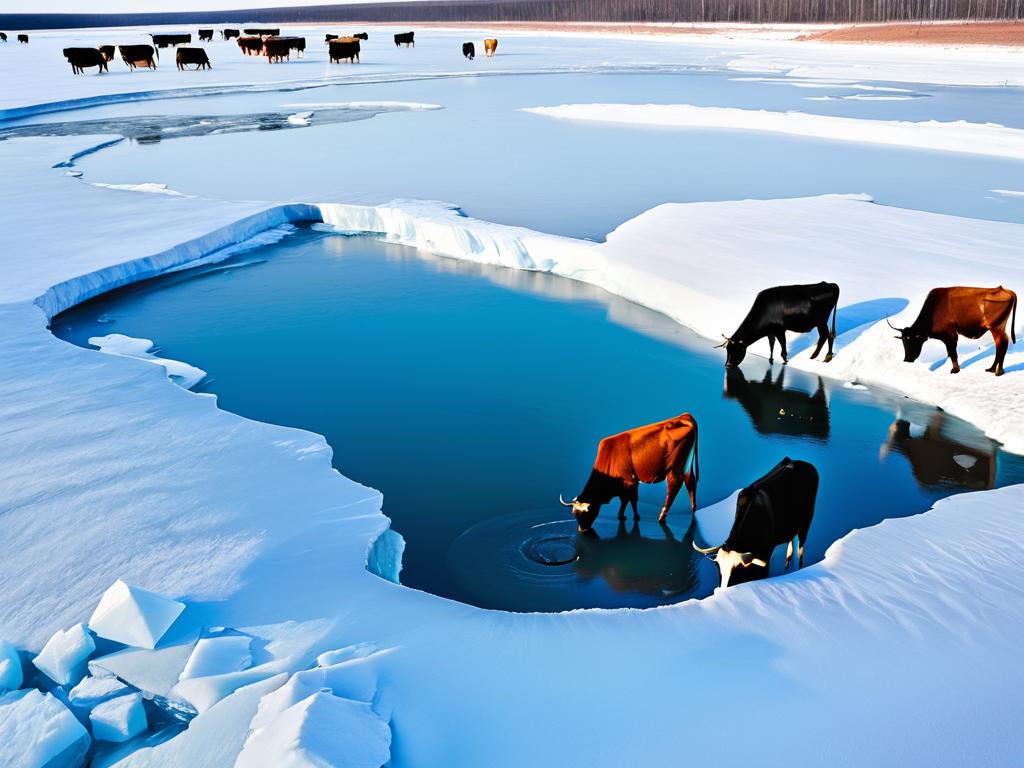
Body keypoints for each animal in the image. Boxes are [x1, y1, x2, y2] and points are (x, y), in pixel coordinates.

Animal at [692, 460, 819, 593]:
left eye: (737, 569)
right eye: (717, 567)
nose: (722, 590)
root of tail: (805, 463)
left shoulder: (765, 555)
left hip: (806, 522)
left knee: (800, 551)